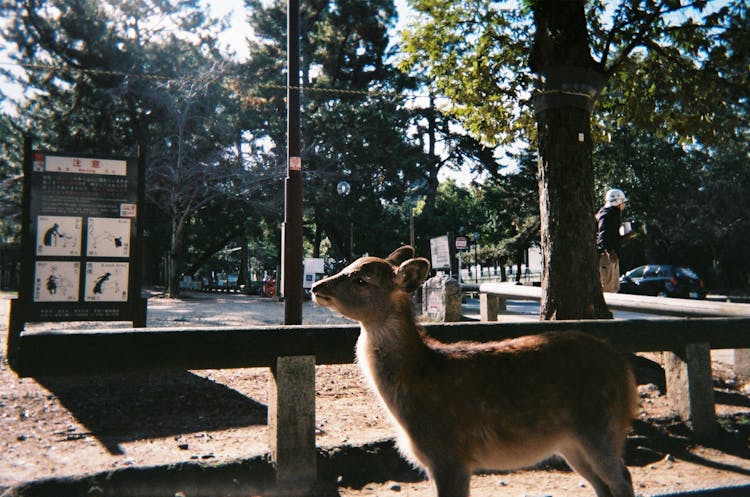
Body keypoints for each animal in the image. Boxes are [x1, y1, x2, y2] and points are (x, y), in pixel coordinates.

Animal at [312, 246, 640, 496]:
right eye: (348, 266)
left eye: (362, 279)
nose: (317, 287)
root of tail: (626, 373)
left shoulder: (449, 454)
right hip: (571, 442)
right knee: (603, 485)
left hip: (601, 426)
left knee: (622, 479)